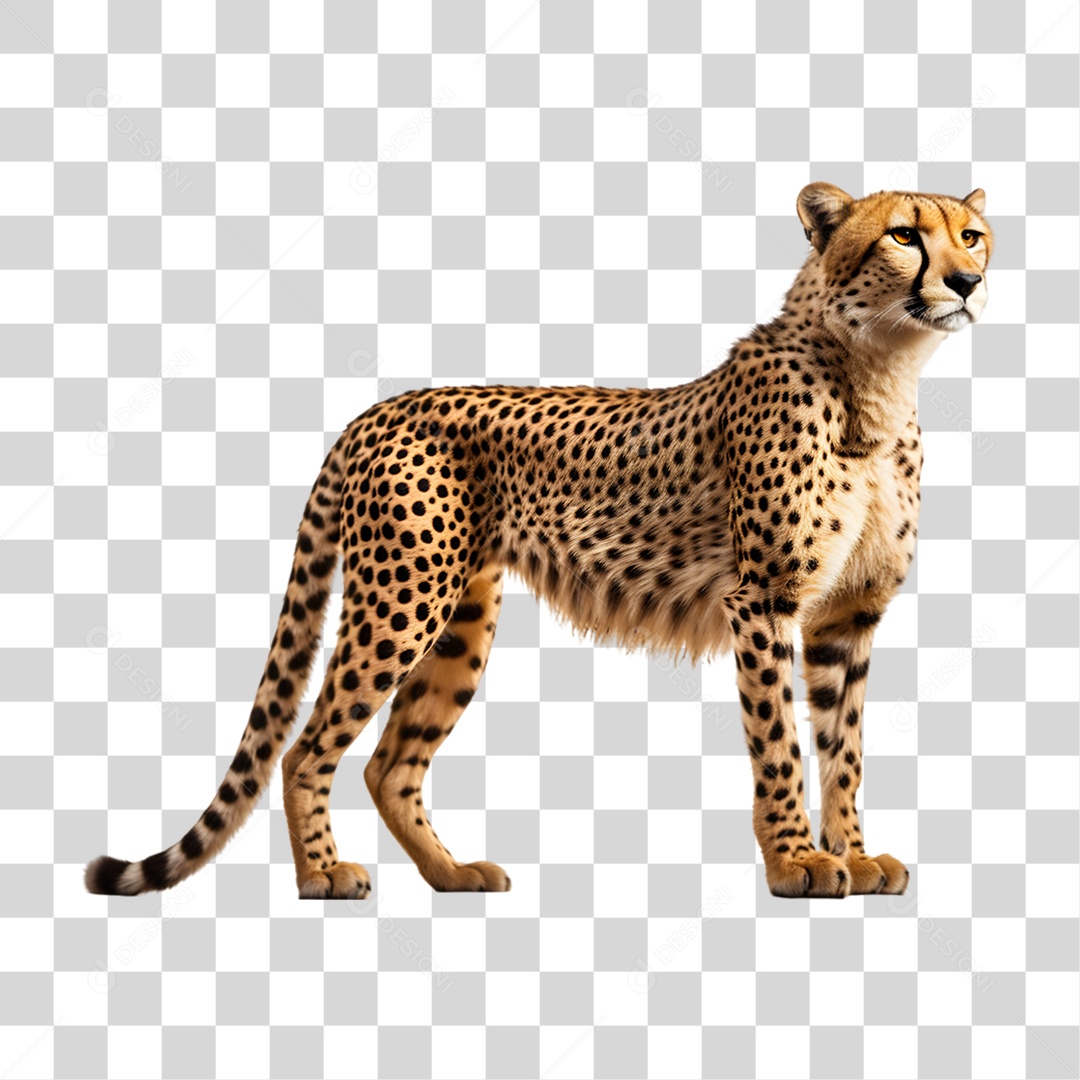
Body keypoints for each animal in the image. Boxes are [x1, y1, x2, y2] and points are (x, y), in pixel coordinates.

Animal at [86, 183, 992, 900]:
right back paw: (321, 877)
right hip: (401, 600)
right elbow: (780, 745)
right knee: (306, 748)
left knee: (389, 763)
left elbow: (844, 746)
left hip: (460, 617)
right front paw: (797, 862)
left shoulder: (849, 614)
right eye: (904, 234)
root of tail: (379, 408)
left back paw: (451, 874)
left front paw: (855, 854)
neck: (877, 373)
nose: (968, 281)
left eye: (972, 234)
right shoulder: (763, 599)